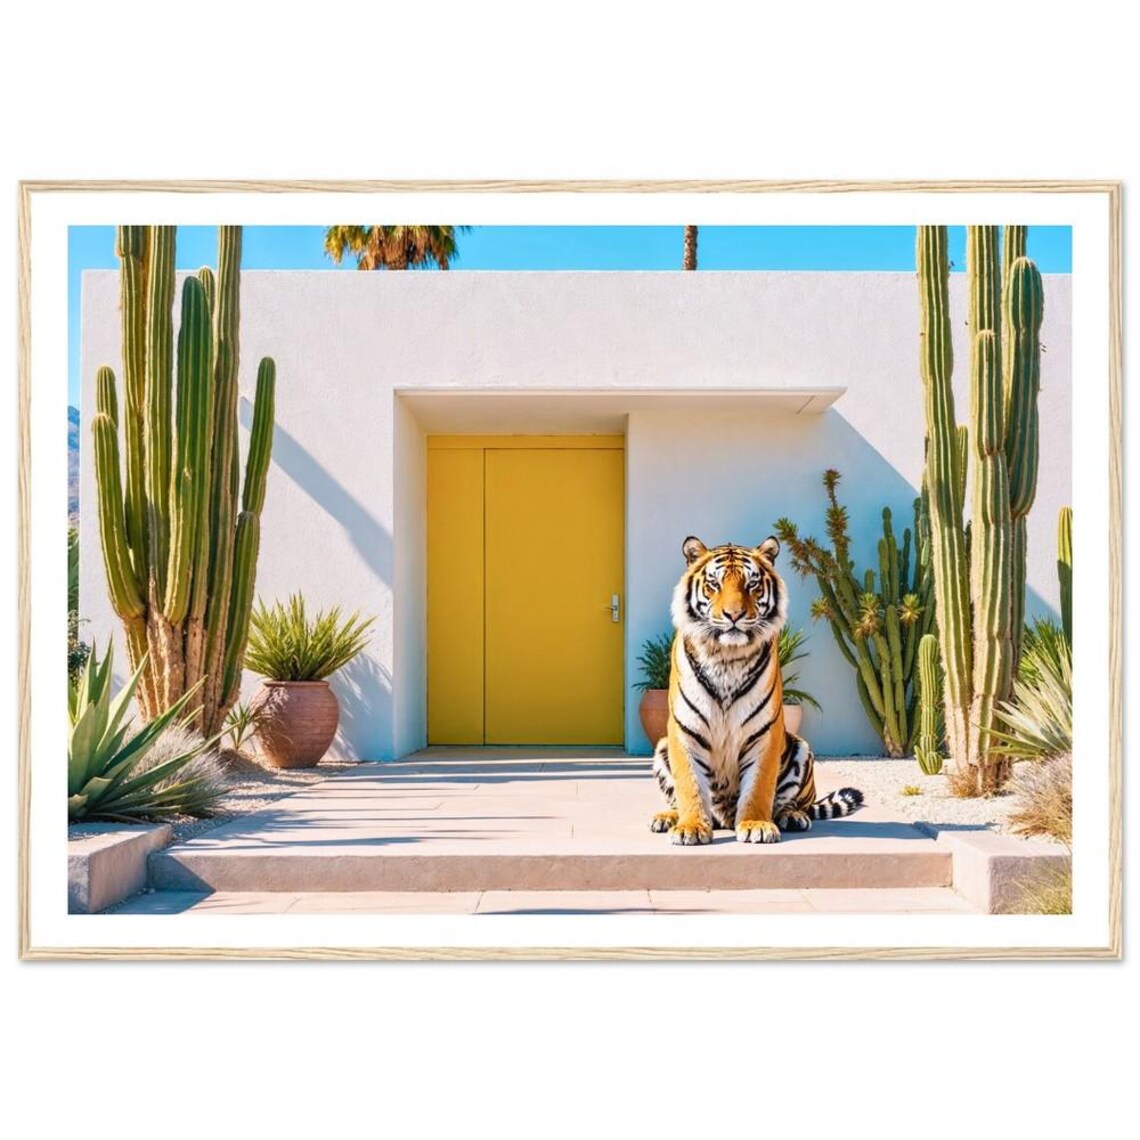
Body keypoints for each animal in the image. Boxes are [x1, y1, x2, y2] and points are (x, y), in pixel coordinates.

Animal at [649, 534, 863, 845]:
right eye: (714, 584)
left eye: (752, 584)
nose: (734, 614)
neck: (726, 657)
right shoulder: (684, 731)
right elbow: (690, 785)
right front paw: (691, 827)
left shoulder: (765, 732)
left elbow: (759, 786)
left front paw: (755, 825)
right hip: (662, 747)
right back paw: (668, 817)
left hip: (801, 748)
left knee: (795, 802)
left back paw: (792, 816)